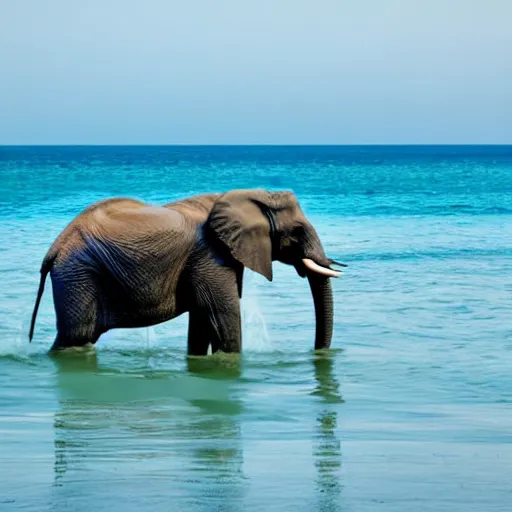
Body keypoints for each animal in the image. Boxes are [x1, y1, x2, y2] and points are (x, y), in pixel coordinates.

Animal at [30, 189, 346, 356]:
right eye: (297, 231)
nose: (317, 354)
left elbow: (202, 323)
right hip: (78, 273)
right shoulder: (211, 256)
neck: (245, 196)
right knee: (77, 334)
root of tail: (54, 248)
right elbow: (222, 318)